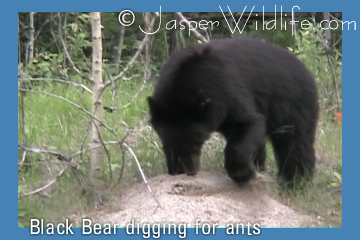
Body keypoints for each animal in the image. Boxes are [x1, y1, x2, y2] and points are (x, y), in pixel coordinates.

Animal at [148, 37, 320, 188]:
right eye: (168, 140)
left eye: (195, 140)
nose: (189, 171)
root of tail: (306, 70)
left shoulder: (227, 90)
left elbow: (248, 121)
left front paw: (241, 173)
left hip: (294, 102)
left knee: (295, 144)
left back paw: (295, 184)